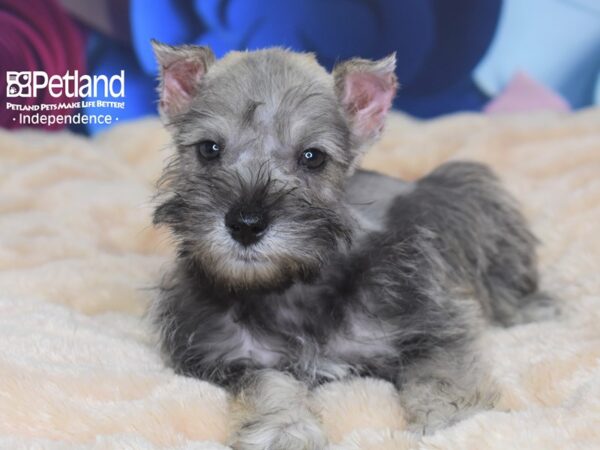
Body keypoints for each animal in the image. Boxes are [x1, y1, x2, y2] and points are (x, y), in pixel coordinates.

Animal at [150, 40, 552, 448]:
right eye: (209, 149)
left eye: (313, 157)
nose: (246, 225)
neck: (291, 289)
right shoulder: (233, 356)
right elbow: (269, 384)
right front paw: (284, 430)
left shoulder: (429, 325)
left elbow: (441, 375)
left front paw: (456, 421)